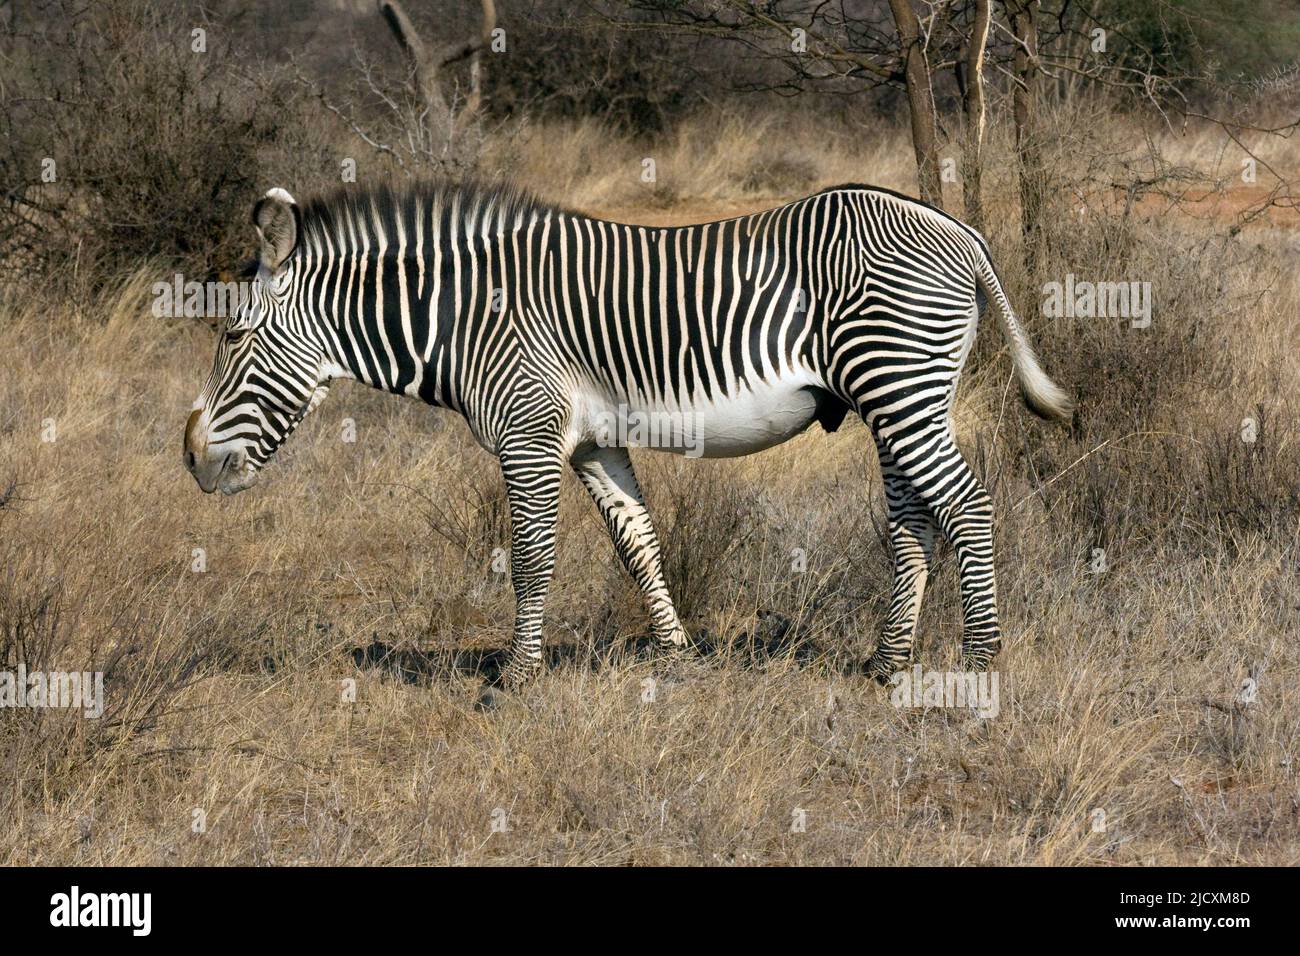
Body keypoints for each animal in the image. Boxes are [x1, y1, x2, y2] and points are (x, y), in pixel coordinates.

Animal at [185, 180, 1076, 686]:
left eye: (231, 335)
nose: (190, 460)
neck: (468, 319)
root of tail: (959, 230)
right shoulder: (591, 442)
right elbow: (638, 540)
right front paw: (677, 658)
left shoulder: (528, 433)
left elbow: (532, 559)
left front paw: (517, 676)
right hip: (895, 396)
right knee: (914, 519)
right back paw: (889, 665)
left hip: (900, 383)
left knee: (967, 507)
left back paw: (980, 661)